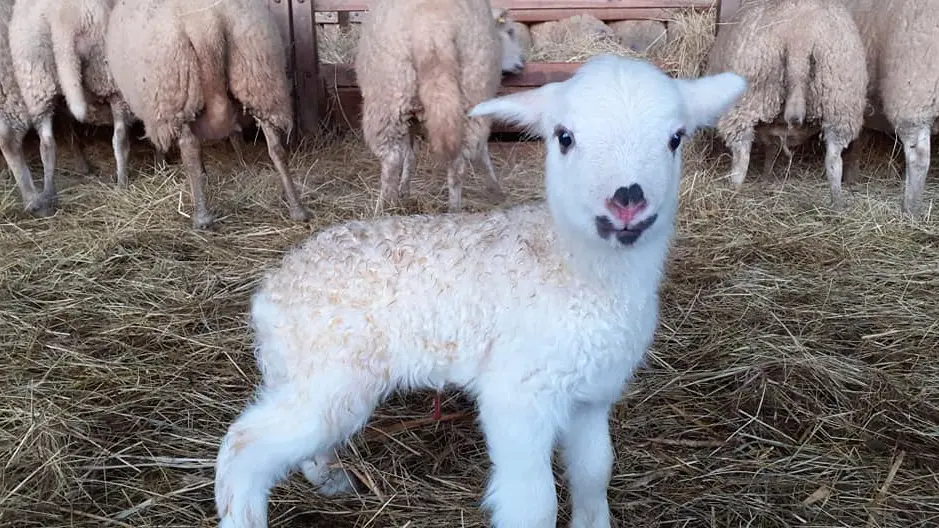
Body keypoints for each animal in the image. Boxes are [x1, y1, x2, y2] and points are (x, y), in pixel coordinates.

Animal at [105, 0, 312, 229]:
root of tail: (206, 23)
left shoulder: (158, 112)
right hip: (259, 78)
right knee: (276, 147)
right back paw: (297, 208)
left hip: (177, 92)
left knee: (190, 149)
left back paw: (202, 217)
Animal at [215, 53, 748, 528]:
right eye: (565, 137)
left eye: (675, 138)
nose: (627, 202)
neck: (577, 270)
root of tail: (270, 291)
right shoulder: (518, 391)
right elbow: (534, 505)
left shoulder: (591, 395)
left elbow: (594, 475)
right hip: (332, 373)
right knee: (245, 446)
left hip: (301, 372)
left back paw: (330, 478)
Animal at [354, 0, 524, 212]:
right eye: (509, 31)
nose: (521, 65)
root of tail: (434, 24)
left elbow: (409, 153)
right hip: (470, 89)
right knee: (458, 163)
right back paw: (453, 210)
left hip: (390, 95)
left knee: (392, 159)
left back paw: (385, 208)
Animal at [704, 0, 868, 206]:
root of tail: (799, 39)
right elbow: (772, 149)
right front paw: (767, 177)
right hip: (840, 104)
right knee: (834, 160)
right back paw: (837, 201)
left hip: (747, 101)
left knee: (742, 156)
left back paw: (733, 191)